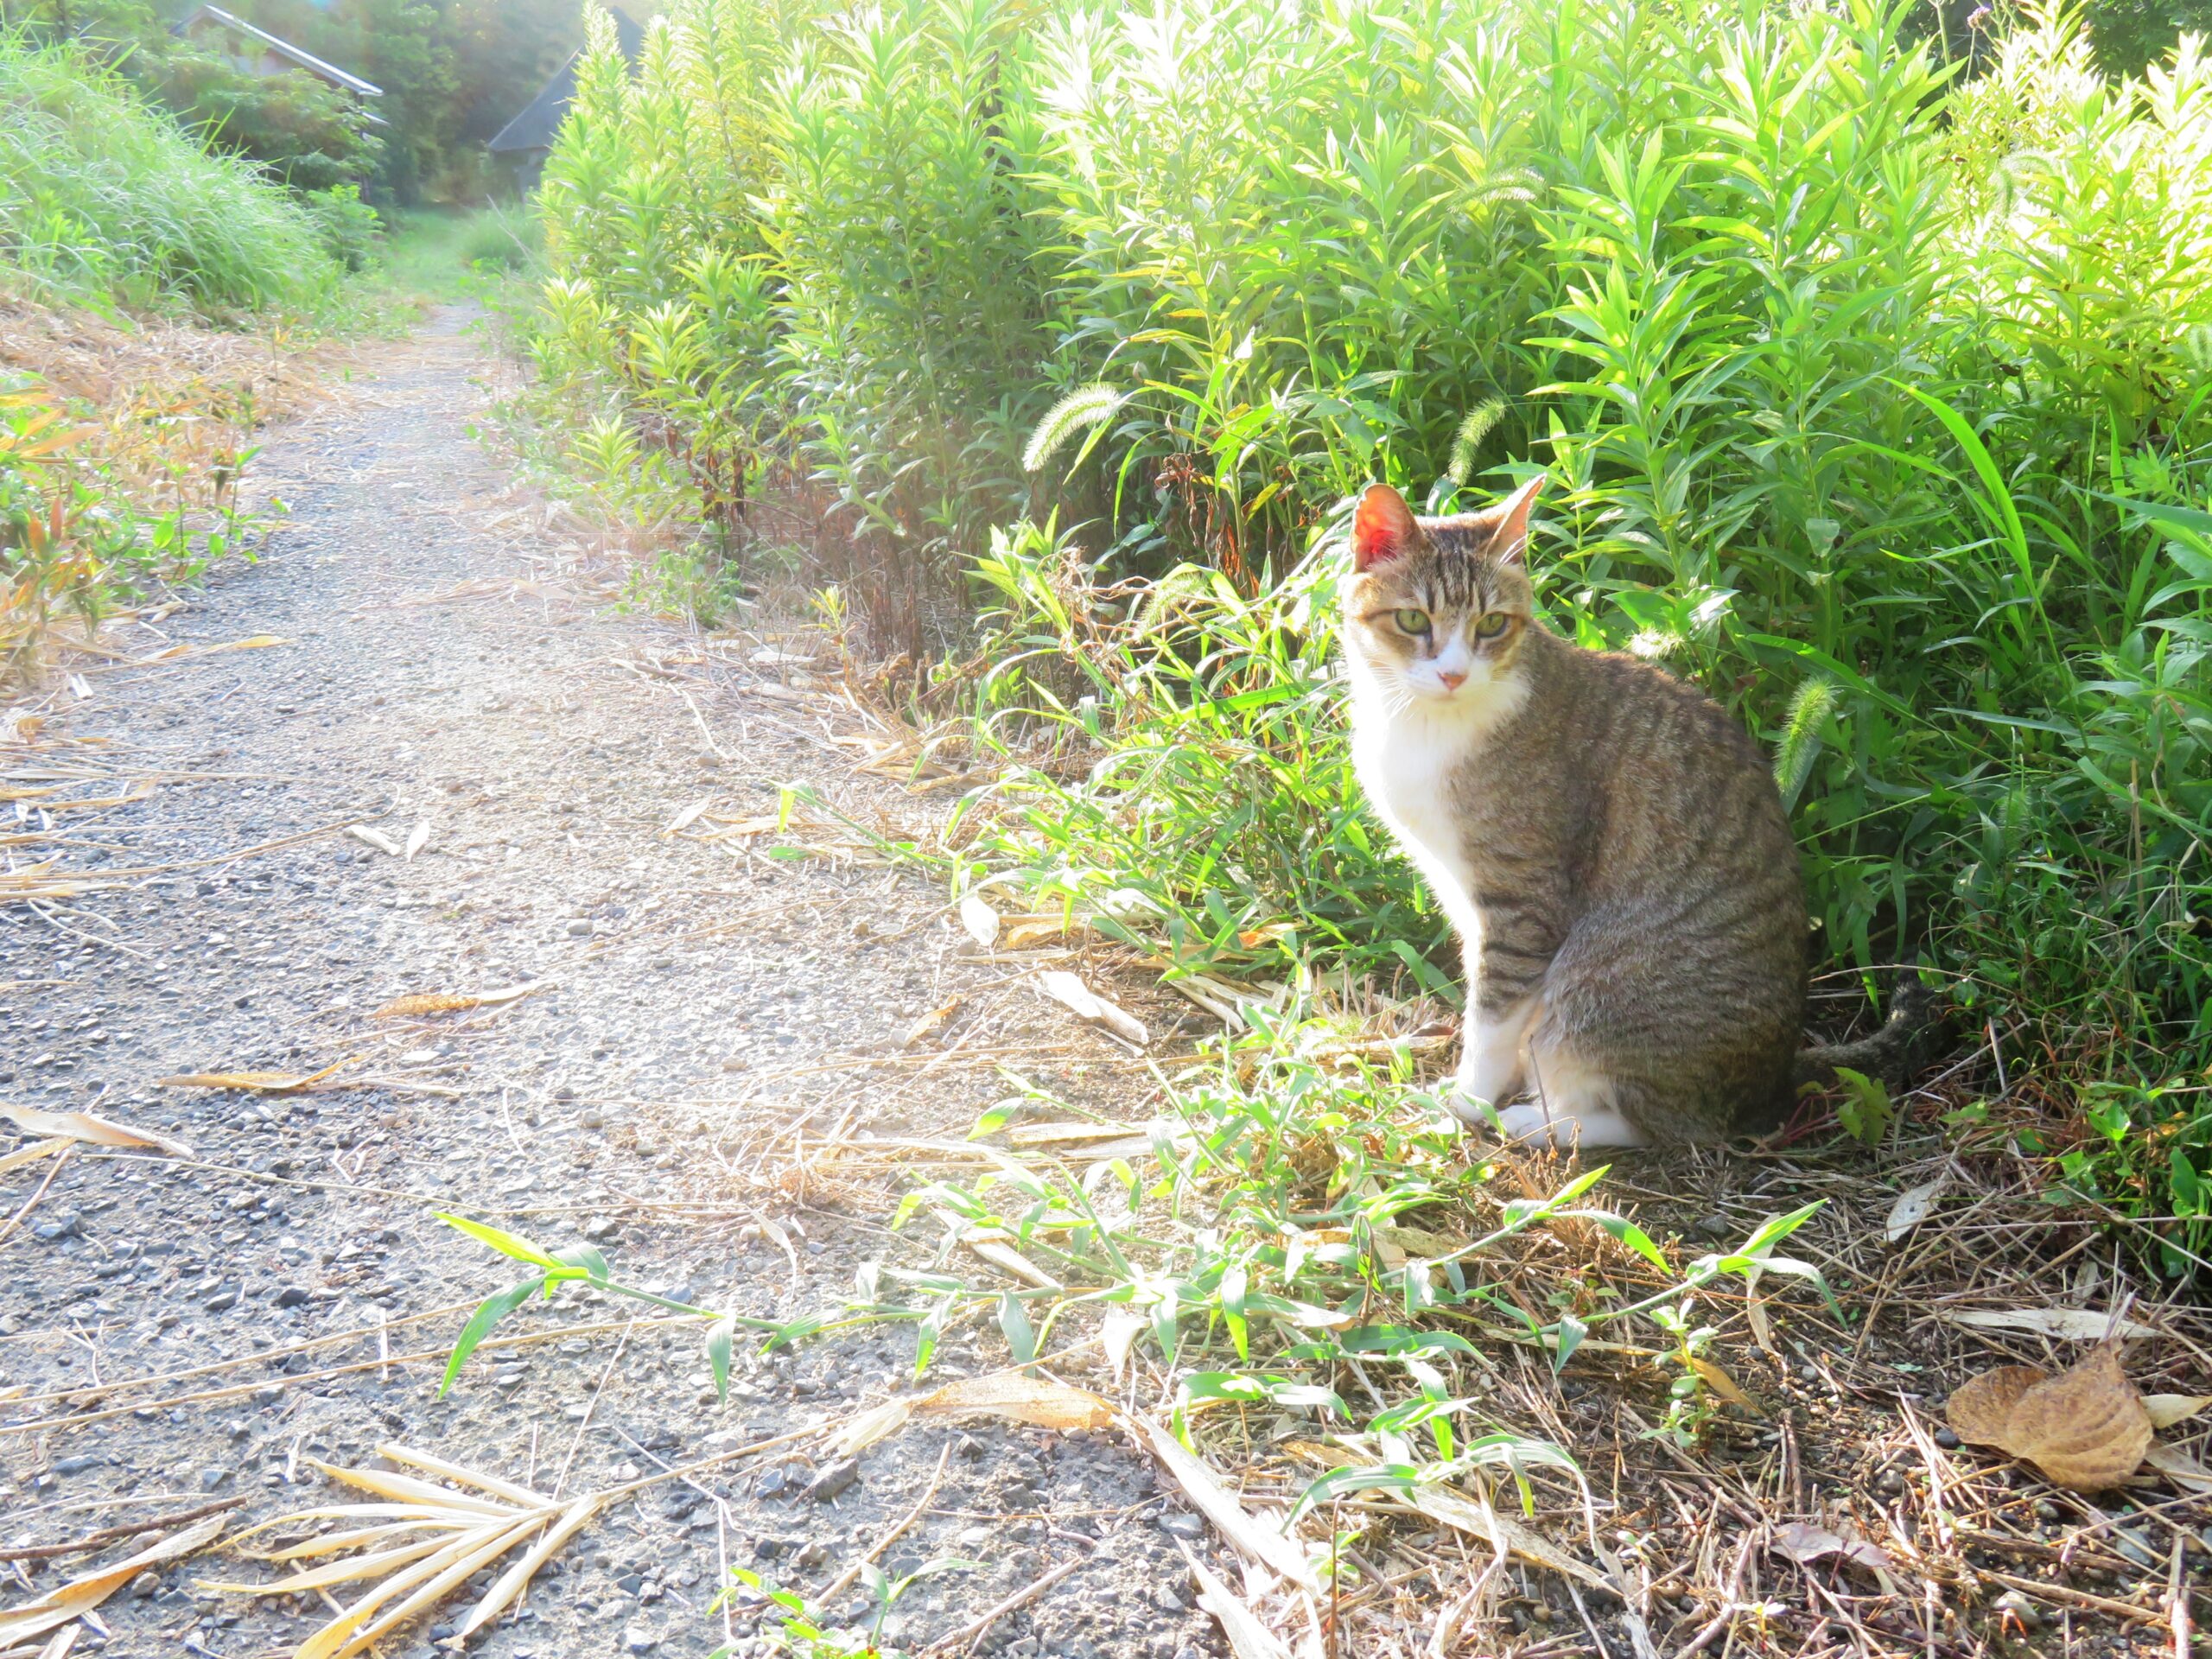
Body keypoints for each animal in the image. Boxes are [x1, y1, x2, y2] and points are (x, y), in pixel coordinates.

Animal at [1336, 471, 1929, 1141]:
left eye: (1491, 625)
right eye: (1412, 619)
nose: (1454, 675)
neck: (1423, 725)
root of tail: (1772, 1076)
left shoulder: (1522, 903)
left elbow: (1492, 1017)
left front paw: (1470, 1101)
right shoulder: (1461, 893)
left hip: (1602, 991)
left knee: (1655, 1121)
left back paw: (1537, 1122)